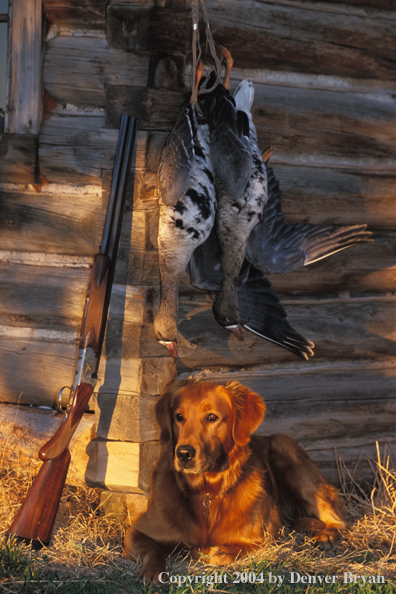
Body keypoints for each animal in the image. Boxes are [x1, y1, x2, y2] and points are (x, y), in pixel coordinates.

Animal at [124, 380, 346, 580]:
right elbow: (153, 550)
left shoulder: (265, 537)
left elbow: (226, 552)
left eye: (211, 417)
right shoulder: (136, 531)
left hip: (288, 452)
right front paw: (153, 572)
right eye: (179, 417)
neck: (206, 492)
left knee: (339, 519)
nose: (184, 454)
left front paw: (209, 552)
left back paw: (327, 535)